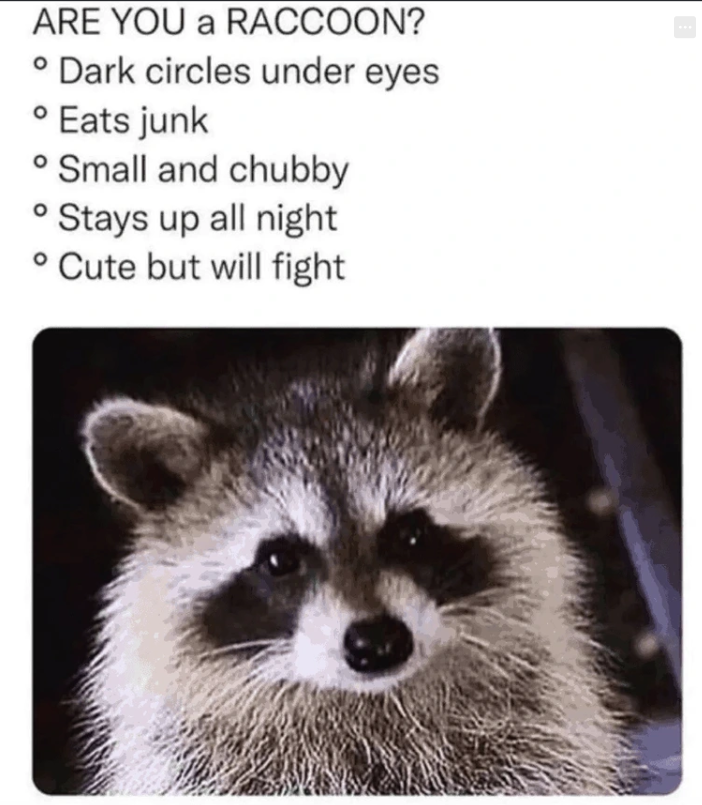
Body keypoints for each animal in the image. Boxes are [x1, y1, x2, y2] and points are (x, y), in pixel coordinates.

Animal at [76, 328, 635, 794]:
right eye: (279, 560)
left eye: (411, 533)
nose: (378, 643)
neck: (369, 701)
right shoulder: (199, 766)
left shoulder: (534, 738)